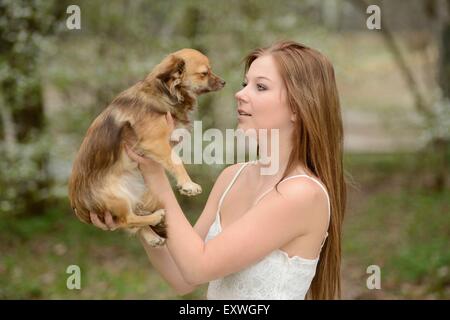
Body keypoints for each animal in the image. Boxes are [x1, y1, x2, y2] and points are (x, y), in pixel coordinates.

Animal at [68, 48, 225, 248]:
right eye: (204, 73)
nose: (223, 82)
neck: (165, 92)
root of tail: (77, 205)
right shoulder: (155, 142)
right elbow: (177, 162)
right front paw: (188, 185)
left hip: (137, 189)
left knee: (132, 219)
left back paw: (151, 235)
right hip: (117, 197)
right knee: (126, 220)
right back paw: (156, 216)